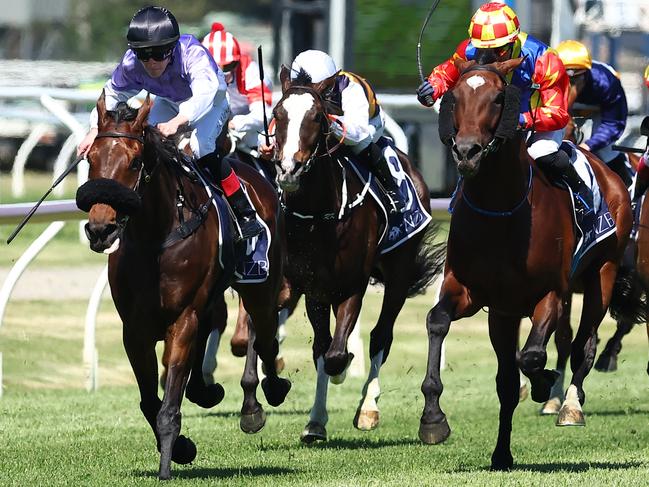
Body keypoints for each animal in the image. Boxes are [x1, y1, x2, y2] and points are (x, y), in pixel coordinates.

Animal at [74, 94, 290, 480]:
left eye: (134, 161)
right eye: (91, 158)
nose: (100, 230)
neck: (154, 238)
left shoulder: (181, 319)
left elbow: (168, 405)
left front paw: (168, 463)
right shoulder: (135, 329)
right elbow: (149, 401)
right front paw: (182, 448)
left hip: (261, 283)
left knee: (263, 333)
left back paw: (265, 395)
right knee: (218, 323)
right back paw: (207, 390)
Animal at [270, 66, 442, 444]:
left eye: (317, 117)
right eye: (278, 113)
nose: (288, 169)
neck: (318, 214)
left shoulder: (352, 286)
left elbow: (336, 353)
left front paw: (346, 368)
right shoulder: (313, 288)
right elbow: (322, 349)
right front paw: (315, 421)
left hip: (399, 275)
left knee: (381, 336)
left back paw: (368, 408)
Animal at [418, 59, 632, 470]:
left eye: (498, 98)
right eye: (455, 96)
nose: (467, 152)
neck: (501, 209)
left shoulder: (550, 293)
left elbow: (533, 356)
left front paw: (546, 384)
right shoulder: (476, 294)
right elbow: (438, 322)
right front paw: (433, 418)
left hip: (603, 273)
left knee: (584, 344)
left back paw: (570, 405)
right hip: (506, 312)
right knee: (512, 374)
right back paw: (503, 451)